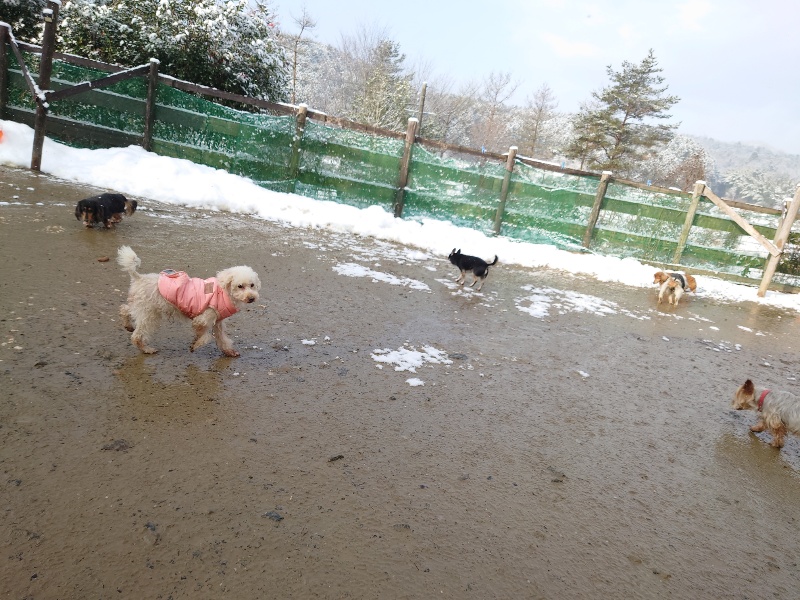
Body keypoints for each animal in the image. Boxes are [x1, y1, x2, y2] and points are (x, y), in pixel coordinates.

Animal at [117, 246, 261, 357]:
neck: (223, 292)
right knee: (136, 336)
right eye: (240, 286)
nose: (251, 298)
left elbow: (222, 339)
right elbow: (205, 336)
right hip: (149, 315)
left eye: (252, 285)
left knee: (124, 309)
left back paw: (128, 325)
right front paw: (195, 344)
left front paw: (229, 352)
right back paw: (147, 349)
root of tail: (139, 277)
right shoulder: (202, 319)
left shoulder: (217, 322)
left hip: (142, 309)